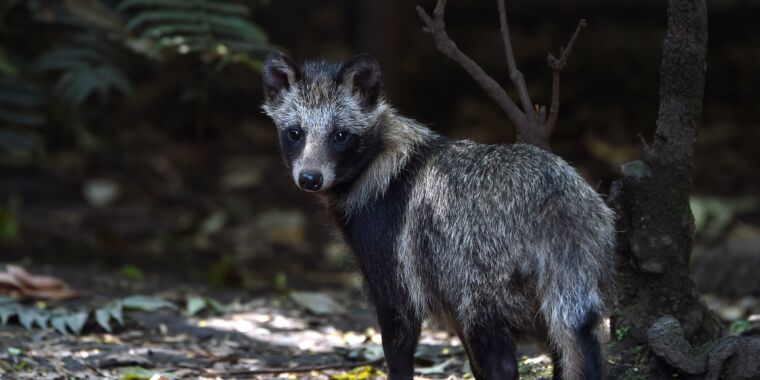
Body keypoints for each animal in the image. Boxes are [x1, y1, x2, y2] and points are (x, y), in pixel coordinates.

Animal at [262, 52, 616, 380]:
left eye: (339, 136)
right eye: (295, 133)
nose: (310, 178)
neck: (379, 161)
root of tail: (557, 204)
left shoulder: (393, 258)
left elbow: (399, 335)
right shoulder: (441, 280)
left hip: (485, 276)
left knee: (501, 353)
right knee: (577, 340)